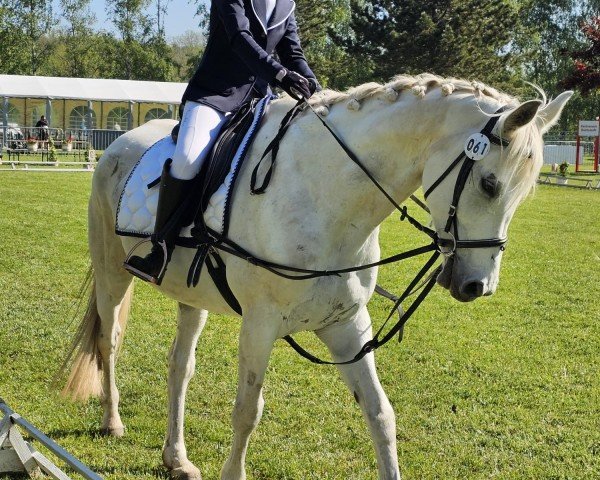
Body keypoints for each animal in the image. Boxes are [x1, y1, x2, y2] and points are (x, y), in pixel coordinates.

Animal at [61, 73, 572, 478]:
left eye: (522, 195)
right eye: (489, 184)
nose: (477, 287)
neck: (328, 198)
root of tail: (121, 142)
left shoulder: (347, 324)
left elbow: (380, 413)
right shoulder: (260, 324)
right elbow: (247, 411)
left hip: (193, 298)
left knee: (179, 366)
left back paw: (177, 459)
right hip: (111, 272)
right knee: (109, 341)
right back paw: (113, 421)